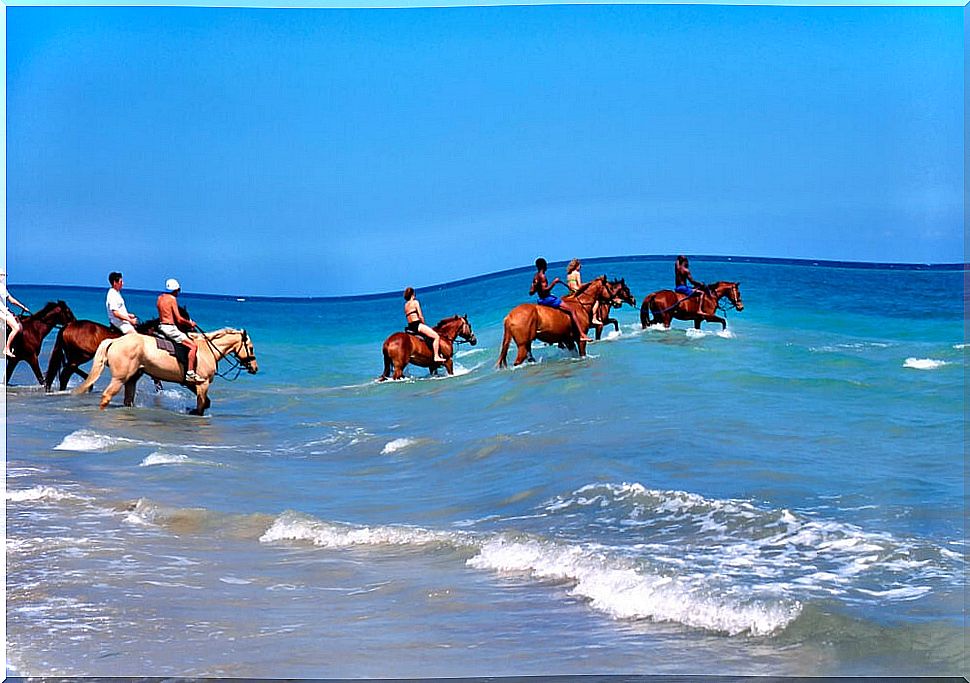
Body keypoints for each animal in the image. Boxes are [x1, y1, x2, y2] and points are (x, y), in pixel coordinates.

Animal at [73, 328, 258, 416]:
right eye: (250, 347)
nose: (255, 368)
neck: (208, 350)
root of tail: (115, 341)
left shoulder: (192, 384)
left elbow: (206, 403)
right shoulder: (202, 384)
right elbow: (202, 405)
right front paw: (195, 412)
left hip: (132, 378)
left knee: (128, 400)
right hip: (120, 378)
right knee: (106, 396)